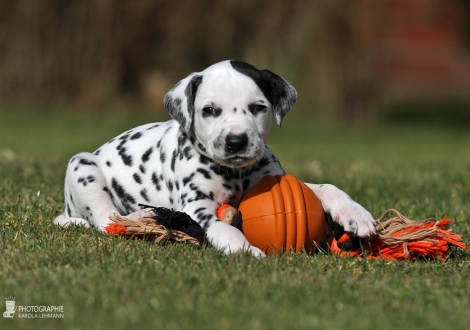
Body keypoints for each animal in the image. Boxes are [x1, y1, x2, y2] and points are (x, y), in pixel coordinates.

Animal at [55, 59, 376, 256]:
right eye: (209, 110)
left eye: (258, 107)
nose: (236, 141)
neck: (235, 174)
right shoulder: (196, 208)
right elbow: (223, 227)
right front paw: (246, 250)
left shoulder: (279, 180)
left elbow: (325, 187)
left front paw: (356, 214)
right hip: (82, 166)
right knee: (106, 220)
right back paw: (141, 217)